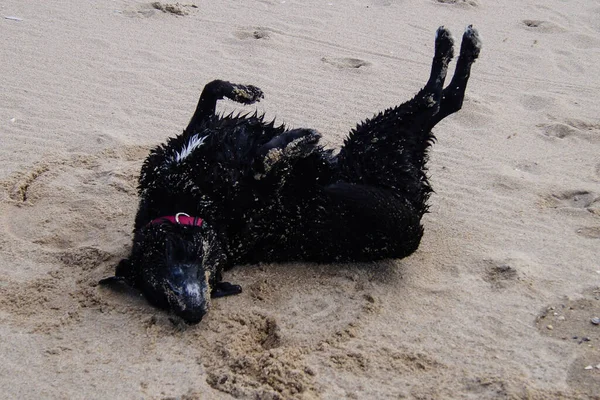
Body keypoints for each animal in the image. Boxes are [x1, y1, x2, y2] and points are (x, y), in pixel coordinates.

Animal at [101, 25, 480, 324]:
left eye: (163, 264)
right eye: (159, 293)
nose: (194, 314)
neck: (188, 198)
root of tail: (417, 209)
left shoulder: (195, 135)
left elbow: (211, 89)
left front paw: (246, 93)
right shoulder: (262, 197)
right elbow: (265, 162)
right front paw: (295, 143)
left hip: (374, 140)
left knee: (444, 101)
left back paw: (457, 43)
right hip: (380, 154)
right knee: (433, 101)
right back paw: (455, 45)